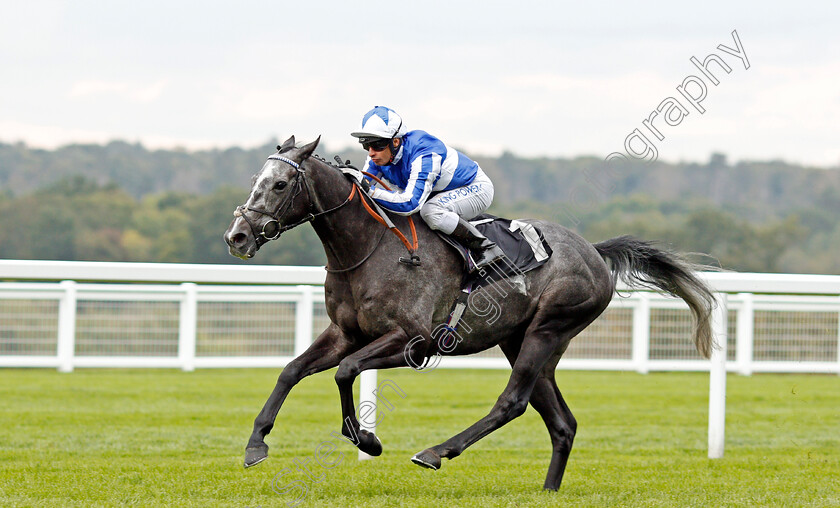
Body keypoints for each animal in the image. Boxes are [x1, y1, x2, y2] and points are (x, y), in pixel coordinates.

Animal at [220, 136, 712, 492]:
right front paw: (256, 444)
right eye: (256, 177)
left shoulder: (413, 342)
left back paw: (436, 452)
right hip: (521, 340)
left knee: (512, 402)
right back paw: (548, 490)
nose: (237, 236)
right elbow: (291, 370)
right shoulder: (345, 332)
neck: (368, 249)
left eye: (281, 184)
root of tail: (592, 250)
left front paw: (368, 440)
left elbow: (346, 371)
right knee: (562, 422)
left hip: (549, 329)